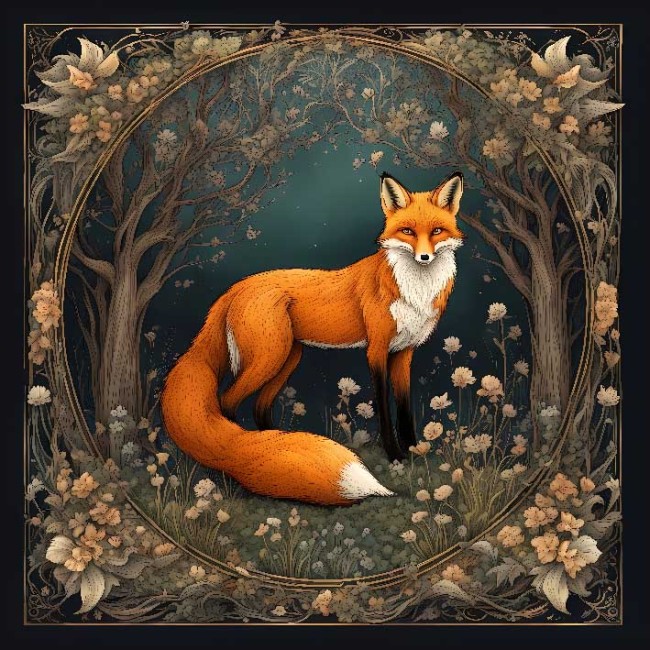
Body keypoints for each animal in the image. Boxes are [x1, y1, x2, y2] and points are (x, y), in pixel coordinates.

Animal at [161, 171, 465, 506]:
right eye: (408, 231)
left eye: (436, 231)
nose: (424, 256)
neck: (414, 291)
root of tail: (236, 287)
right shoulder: (376, 350)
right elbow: (385, 408)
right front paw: (395, 455)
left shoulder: (405, 351)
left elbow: (405, 406)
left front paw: (413, 453)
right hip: (269, 357)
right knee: (226, 403)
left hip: (288, 358)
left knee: (259, 408)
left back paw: (274, 451)